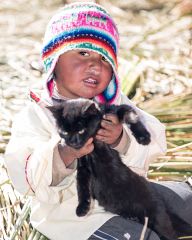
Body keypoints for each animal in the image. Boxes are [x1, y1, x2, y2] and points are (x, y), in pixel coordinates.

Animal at [48, 98, 192, 240]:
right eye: (65, 132)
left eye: (81, 130)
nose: (72, 142)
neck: (94, 142)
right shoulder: (83, 167)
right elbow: (82, 188)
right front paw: (82, 208)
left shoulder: (114, 110)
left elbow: (130, 114)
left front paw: (143, 137)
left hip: (157, 216)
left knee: (170, 233)